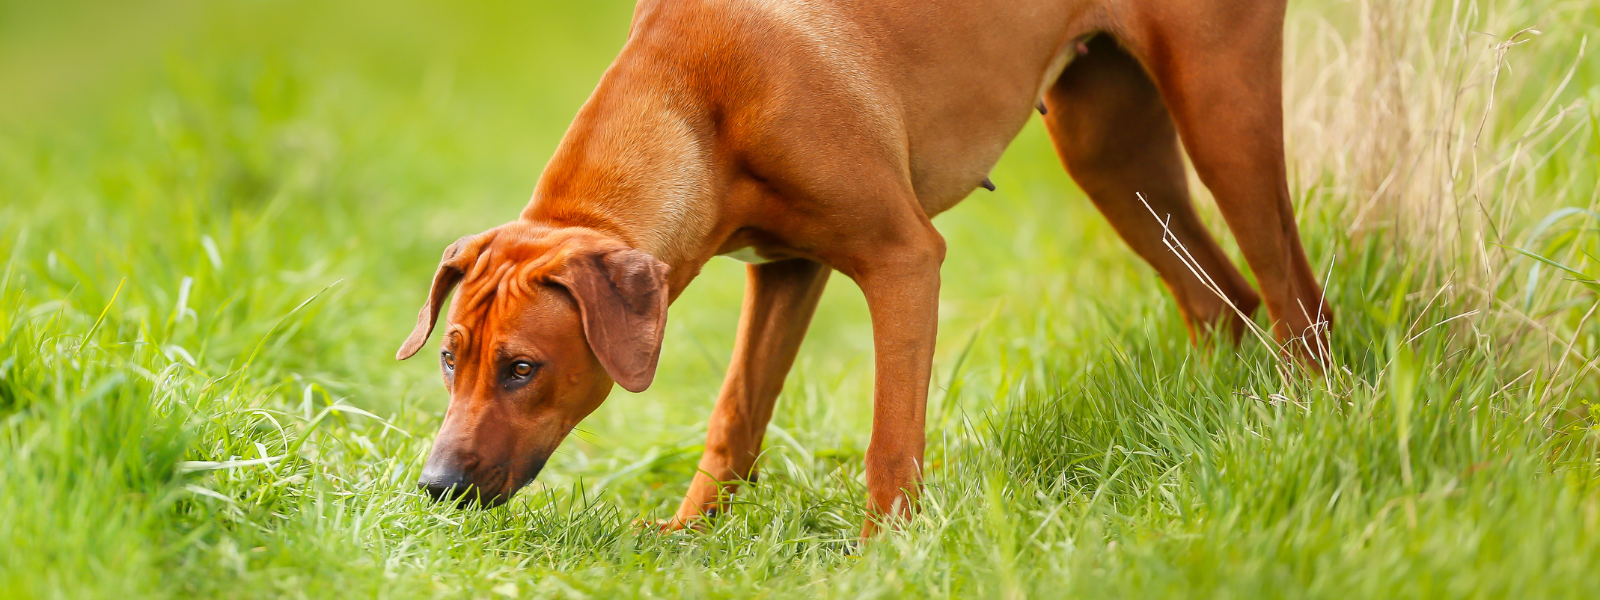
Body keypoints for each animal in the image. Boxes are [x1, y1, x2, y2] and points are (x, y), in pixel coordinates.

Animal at [396, 0, 1324, 534]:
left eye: (522, 368)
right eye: (447, 359)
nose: (436, 486)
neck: (694, 97)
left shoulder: (903, 259)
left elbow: (891, 438)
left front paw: (887, 551)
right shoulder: (784, 270)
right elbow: (735, 416)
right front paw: (690, 536)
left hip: (1221, 108)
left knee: (1298, 301)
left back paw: (1307, 421)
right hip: (1107, 149)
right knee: (1222, 303)